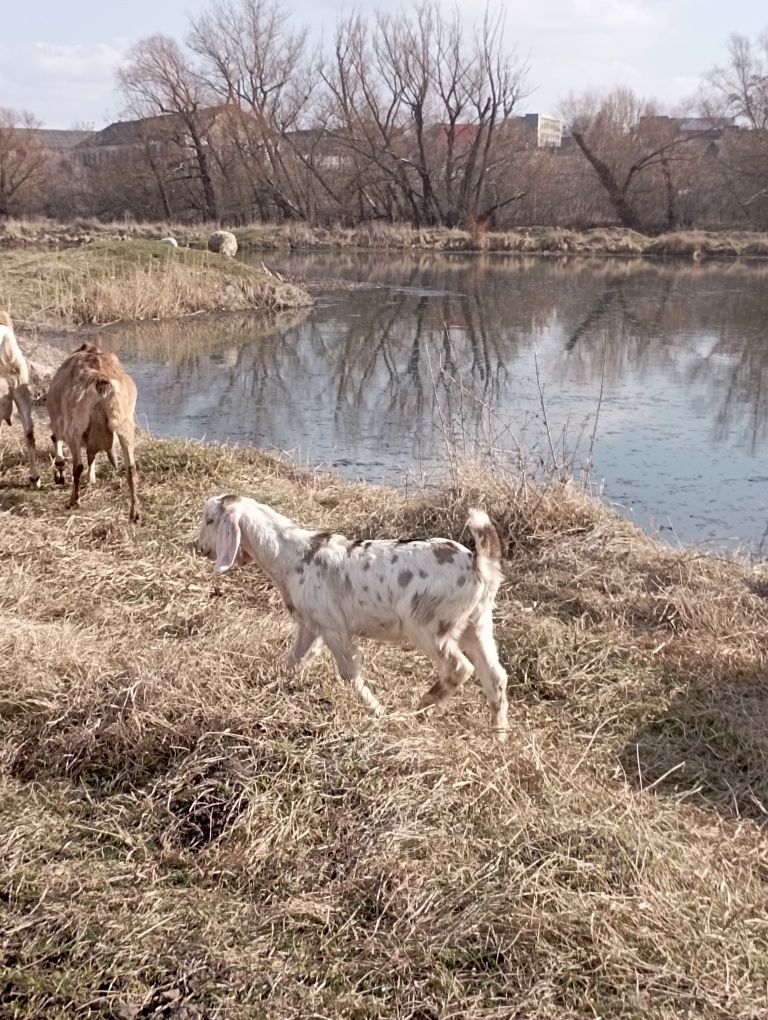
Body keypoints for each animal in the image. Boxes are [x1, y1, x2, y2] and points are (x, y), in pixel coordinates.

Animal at [46, 344, 139, 522]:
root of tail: (101, 382)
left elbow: (58, 442)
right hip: (124, 423)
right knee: (131, 468)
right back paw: (135, 513)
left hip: (75, 427)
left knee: (78, 466)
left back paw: (74, 501)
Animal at [195, 493, 509, 742]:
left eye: (210, 520)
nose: (199, 548)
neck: (292, 554)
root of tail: (478, 564)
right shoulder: (311, 624)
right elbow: (294, 660)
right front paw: (274, 684)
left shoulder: (334, 626)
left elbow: (349, 672)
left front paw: (377, 710)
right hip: (477, 624)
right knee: (496, 676)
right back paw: (499, 736)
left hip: (426, 624)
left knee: (459, 668)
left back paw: (421, 707)